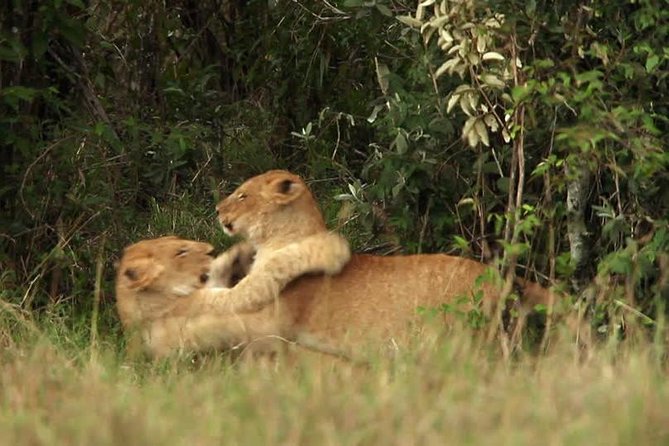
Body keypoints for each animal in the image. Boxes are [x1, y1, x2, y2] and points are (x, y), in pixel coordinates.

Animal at [114, 232, 350, 358]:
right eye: (181, 252)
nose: (210, 248)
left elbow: (221, 269)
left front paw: (241, 251)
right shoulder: (223, 304)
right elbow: (271, 269)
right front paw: (330, 248)